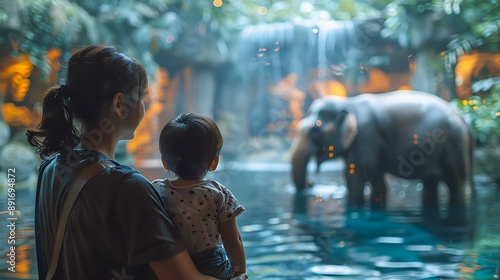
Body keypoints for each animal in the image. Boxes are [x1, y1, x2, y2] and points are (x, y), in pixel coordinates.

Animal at [290, 91, 472, 222]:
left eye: (316, 133)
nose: (311, 183)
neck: (348, 102)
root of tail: (464, 119)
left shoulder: (366, 137)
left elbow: (355, 178)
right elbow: (378, 181)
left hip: (453, 149)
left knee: (456, 185)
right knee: (431, 184)